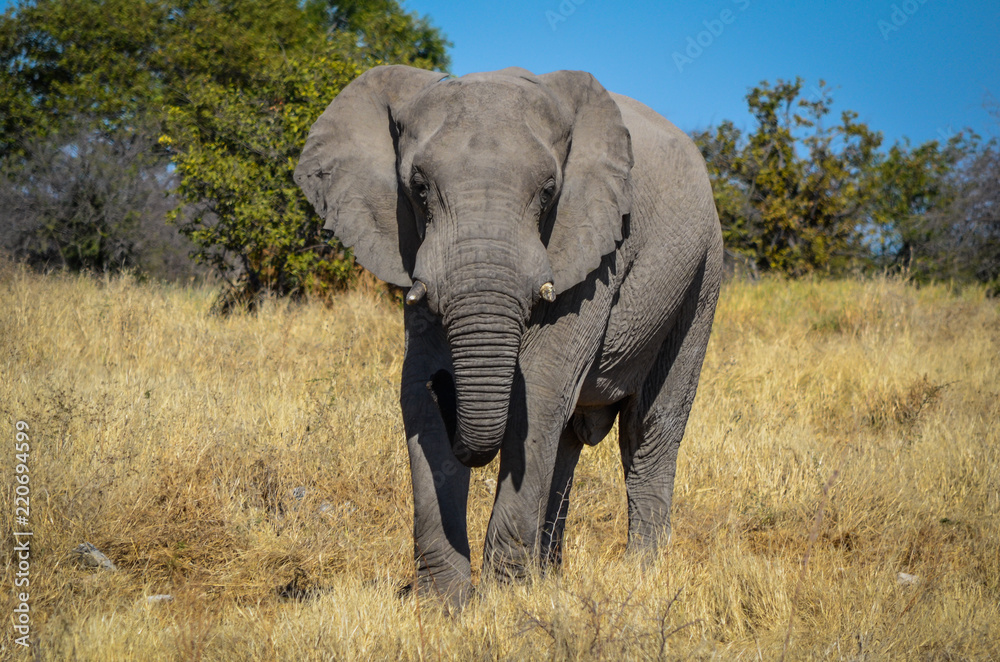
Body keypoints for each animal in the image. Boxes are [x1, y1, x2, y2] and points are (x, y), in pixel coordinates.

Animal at [295, 65, 723, 609]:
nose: (447, 385)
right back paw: (551, 575)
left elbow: (538, 392)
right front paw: (444, 606)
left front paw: (506, 604)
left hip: (703, 273)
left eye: (547, 191)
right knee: (568, 443)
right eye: (418, 188)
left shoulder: (593, 249)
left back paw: (641, 574)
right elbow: (414, 396)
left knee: (650, 428)